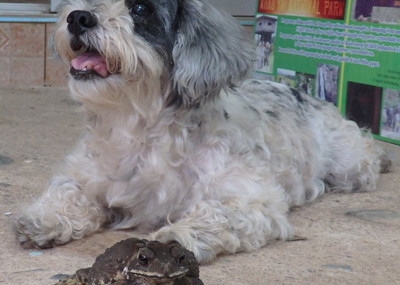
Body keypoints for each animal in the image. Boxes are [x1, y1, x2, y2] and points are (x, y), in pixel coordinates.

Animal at [16, 0, 390, 262]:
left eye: (140, 9)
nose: (78, 17)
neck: (139, 126)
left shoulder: (256, 200)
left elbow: (218, 212)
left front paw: (179, 235)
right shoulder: (84, 172)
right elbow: (68, 190)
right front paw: (46, 218)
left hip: (350, 167)